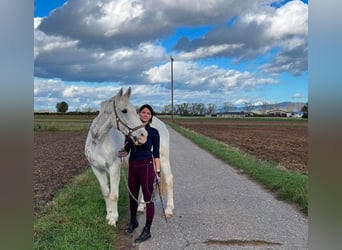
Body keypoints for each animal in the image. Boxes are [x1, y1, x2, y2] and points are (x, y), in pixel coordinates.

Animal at [83, 88, 174, 227]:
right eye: (124, 110)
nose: (143, 135)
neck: (99, 141)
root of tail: (162, 124)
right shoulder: (96, 169)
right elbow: (106, 193)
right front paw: (108, 215)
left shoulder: (114, 167)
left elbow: (114, 194)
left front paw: (113, 219)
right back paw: (141, 207)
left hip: (162, 159)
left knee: (169, 179)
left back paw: (168, 209)